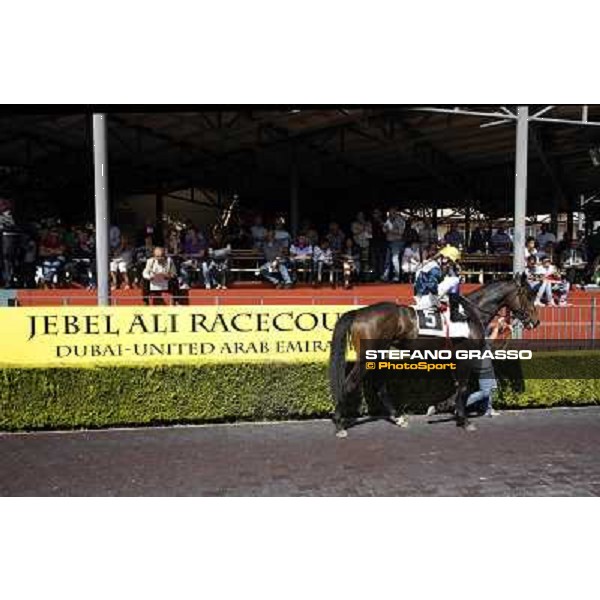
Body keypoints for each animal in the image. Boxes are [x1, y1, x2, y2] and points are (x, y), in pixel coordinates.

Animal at [330, 276, 540, 436]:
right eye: (529, 296)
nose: (536, 322)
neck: (471, 313)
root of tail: (358, 312)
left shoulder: (455, 358)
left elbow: (458, 386)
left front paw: (442, 408)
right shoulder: (465, 356)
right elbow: (463, 387)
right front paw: (463, 420)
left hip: (378, 354)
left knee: (379, 386)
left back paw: (398, 418)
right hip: (367, 357)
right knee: (349, 383)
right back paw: (339, 424)